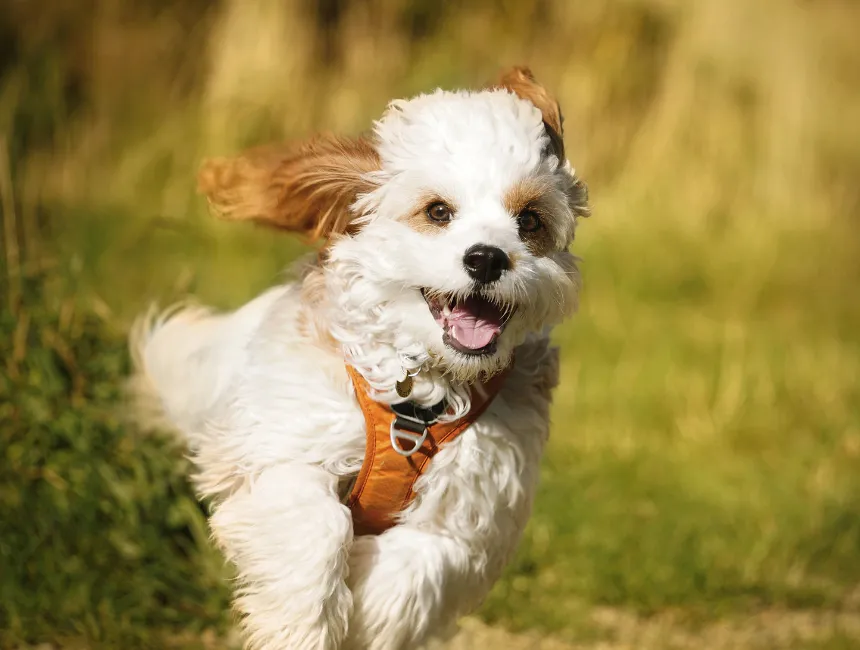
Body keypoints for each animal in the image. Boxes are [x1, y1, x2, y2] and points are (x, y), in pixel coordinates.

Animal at [133, 67, 592, 648]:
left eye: (529, 220)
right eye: (437, 211)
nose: (487, 258)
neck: (419, 398)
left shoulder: (467, 517)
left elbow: (415, 568)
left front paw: (367, 612)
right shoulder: (281, 450)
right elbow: (319, 529)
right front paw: (302, 628)